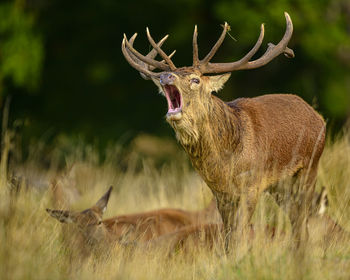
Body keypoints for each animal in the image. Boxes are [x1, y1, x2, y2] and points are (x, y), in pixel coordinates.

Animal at [121, 12, 326, 249]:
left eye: (195, 79)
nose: (165, 77)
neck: (226, 162)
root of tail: (318, 117)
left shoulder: (251, 185)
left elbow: (239, 236)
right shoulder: (221, 194)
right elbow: (228, 238)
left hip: (309, 169)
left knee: (302, 222)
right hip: (280, 186)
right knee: (296, 223)